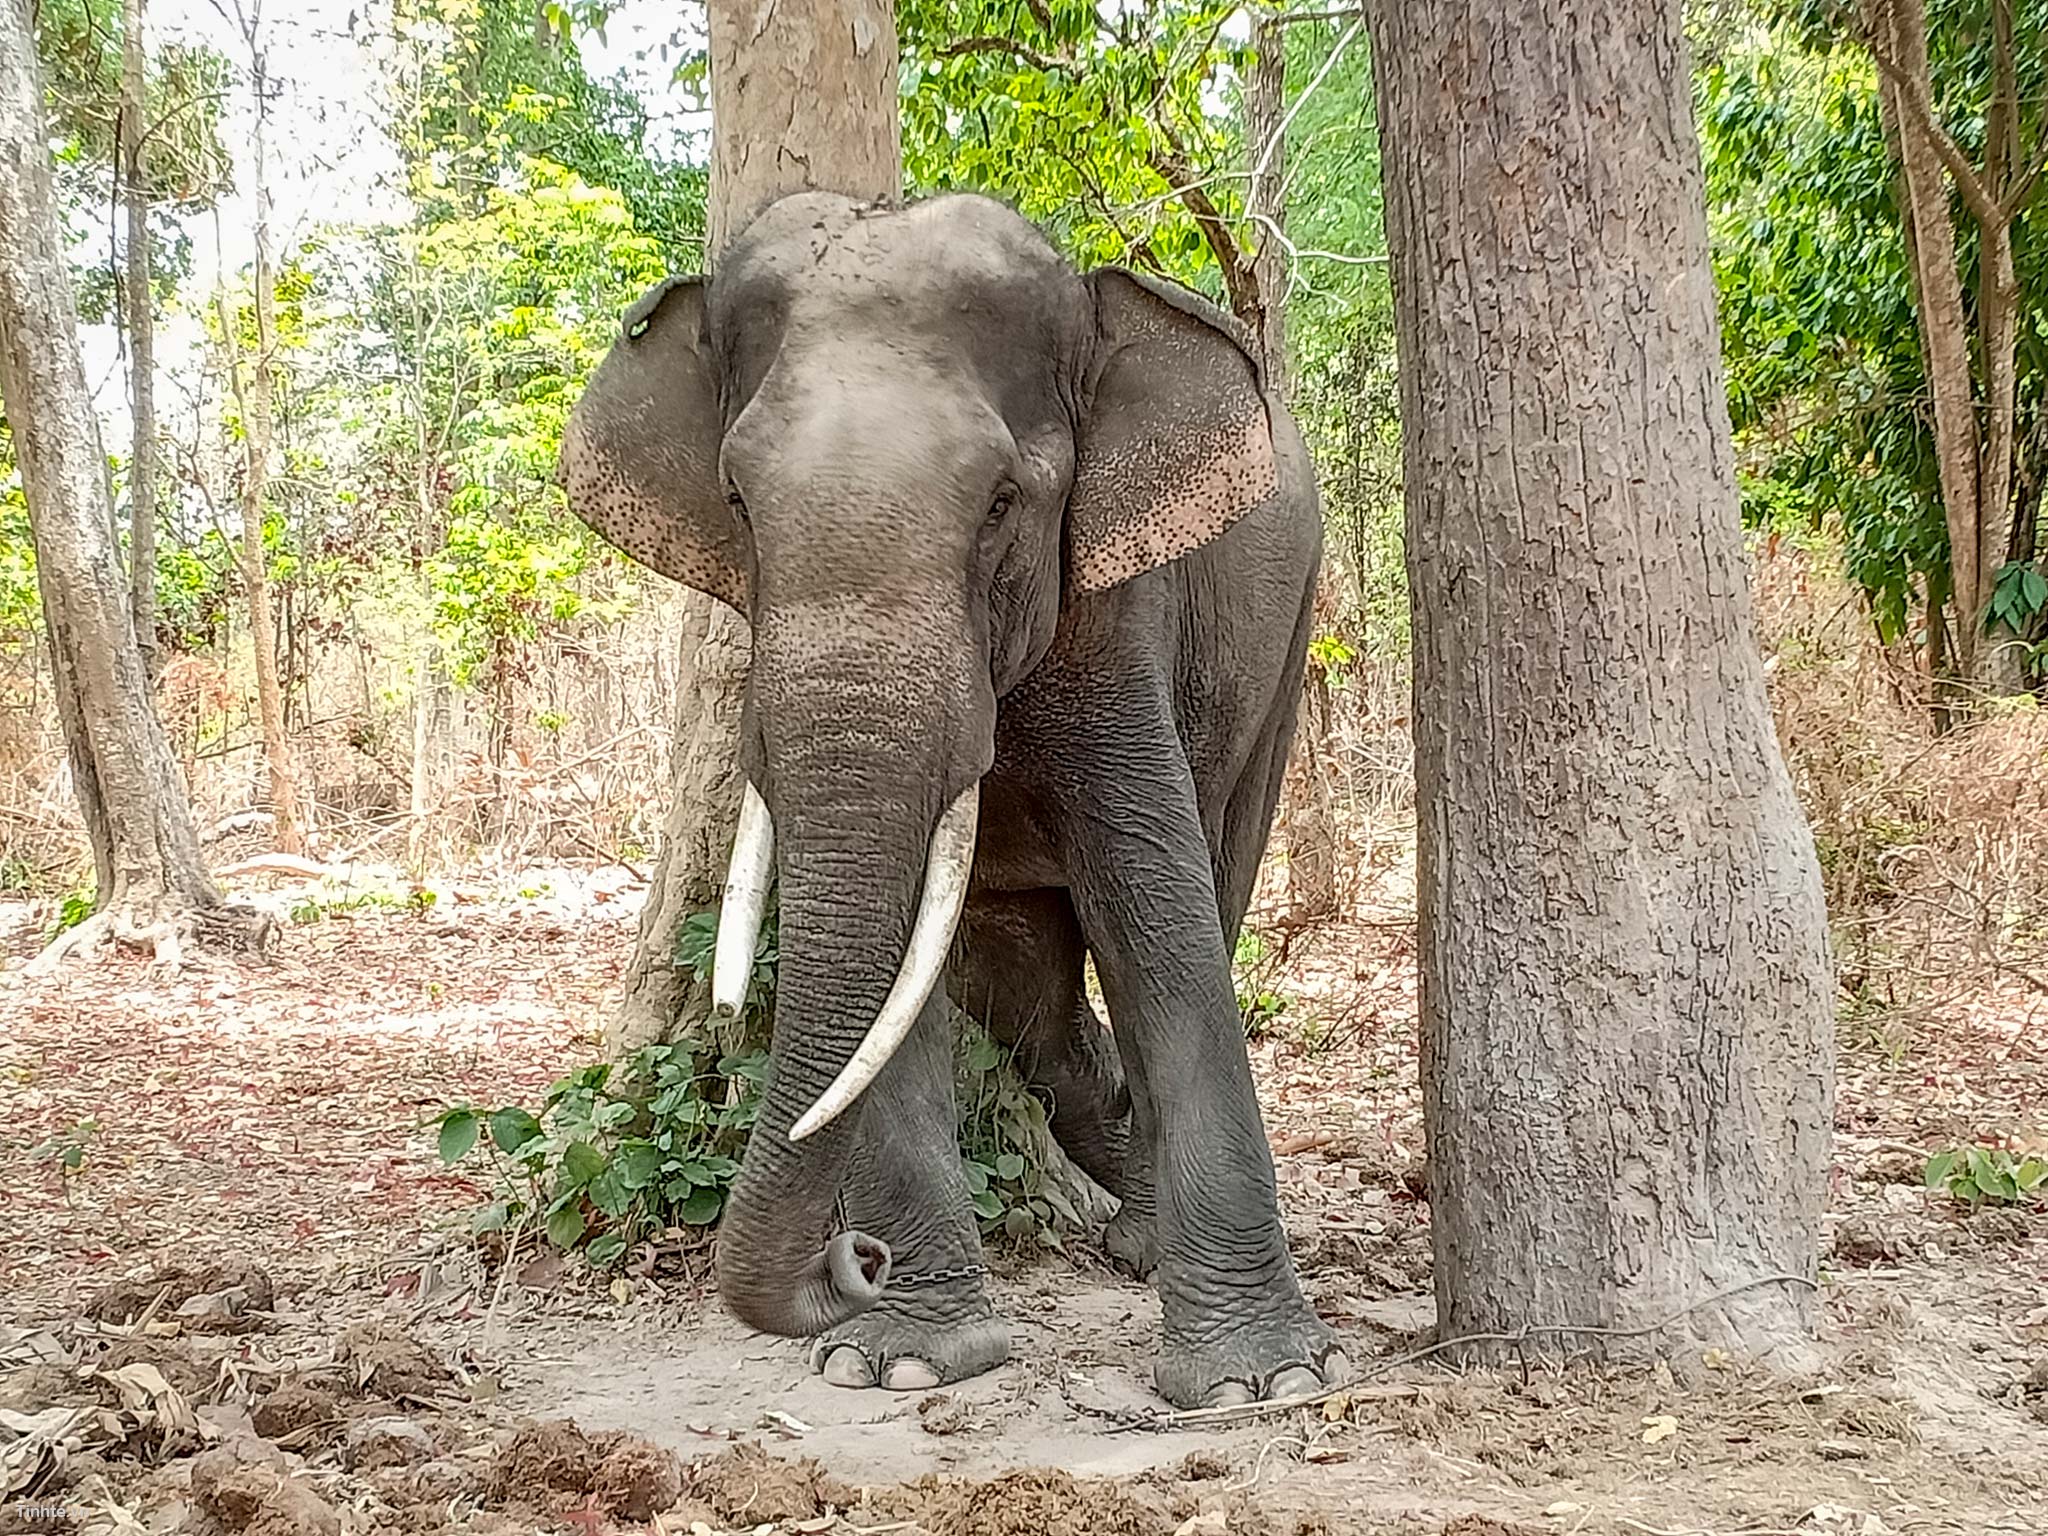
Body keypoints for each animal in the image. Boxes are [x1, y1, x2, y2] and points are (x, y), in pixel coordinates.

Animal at [557, 189, 1343, 1409]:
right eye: (735, 499)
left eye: (1002, 503)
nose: (854, 1260)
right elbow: (900, 985)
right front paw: (903, 1362)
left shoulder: (1116, 618)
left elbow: (1156, 919)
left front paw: (1258, 1386)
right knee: (1026, 1002)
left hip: (1285, 635)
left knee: (1209, 885)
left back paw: (1142, 1246)